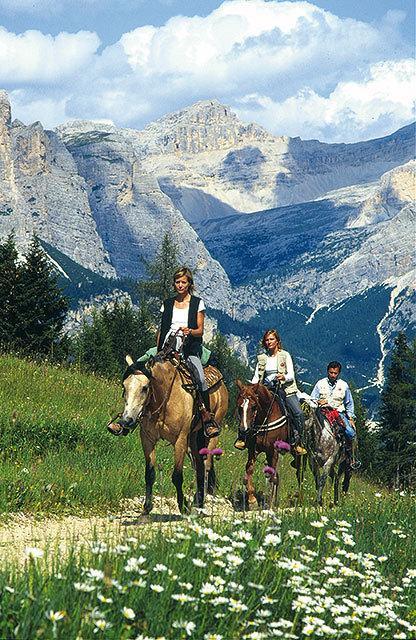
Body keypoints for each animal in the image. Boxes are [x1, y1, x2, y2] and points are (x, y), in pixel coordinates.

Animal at [108, 352, 228, 512]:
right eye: (124, 386)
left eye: (145, 388)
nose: (126, 421)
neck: (164, 400)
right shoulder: (147, 438)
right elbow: (149, 473)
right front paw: (147, 507)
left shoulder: (180, 440)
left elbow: (177, 476)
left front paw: (182, 506)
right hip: (194, 439)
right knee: (199, 466)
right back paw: (197, 500)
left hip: (211, 435)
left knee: (206, 465)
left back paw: (200, 502)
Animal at [236, 380, 290, 510]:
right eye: (239, 406)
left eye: (254, 406)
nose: (244, 431)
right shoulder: (253, 449)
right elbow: (249, 469)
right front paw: (252, 501)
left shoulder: (274, 451)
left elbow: (272, 476)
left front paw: (269, 504)